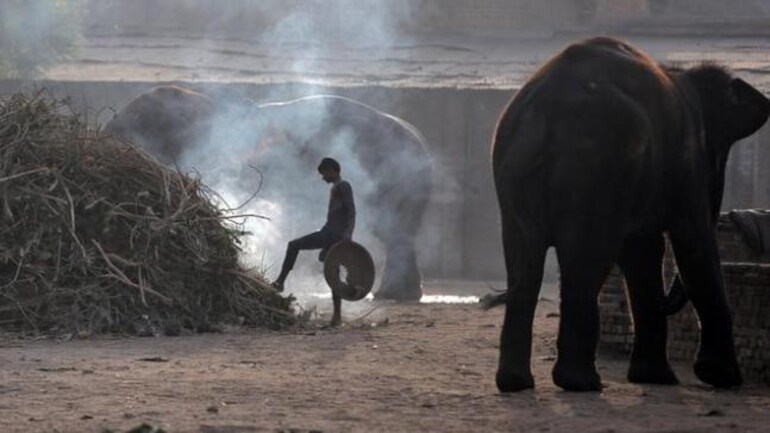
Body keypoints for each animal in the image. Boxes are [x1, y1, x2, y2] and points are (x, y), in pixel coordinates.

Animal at [491, 36, 769, 392]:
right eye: (718, 159)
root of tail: (541, 108)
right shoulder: (685, 165)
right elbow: (691, 242)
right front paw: (723, 378)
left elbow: (643, 250)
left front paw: (656, 378)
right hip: (595, 168)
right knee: (588, 260)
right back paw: (582, 383)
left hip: (515, 172)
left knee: (525, 264)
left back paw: (517, 383)